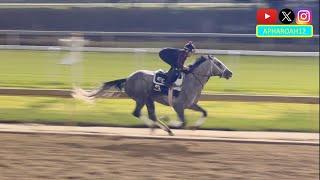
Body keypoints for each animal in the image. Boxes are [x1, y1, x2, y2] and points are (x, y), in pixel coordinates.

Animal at [72, 54, 232, 136]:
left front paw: (194, 127)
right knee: (138, 113)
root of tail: (128, 78)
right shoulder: (179, 106)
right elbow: (182, 122)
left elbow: (205, 112)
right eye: (219, 63)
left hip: (149, 99)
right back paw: (161, 127)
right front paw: (170, 121)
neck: (191, 80)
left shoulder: (191, 104)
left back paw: (163, 129)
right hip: (141, 98)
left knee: (151, 115)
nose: (230, 73)